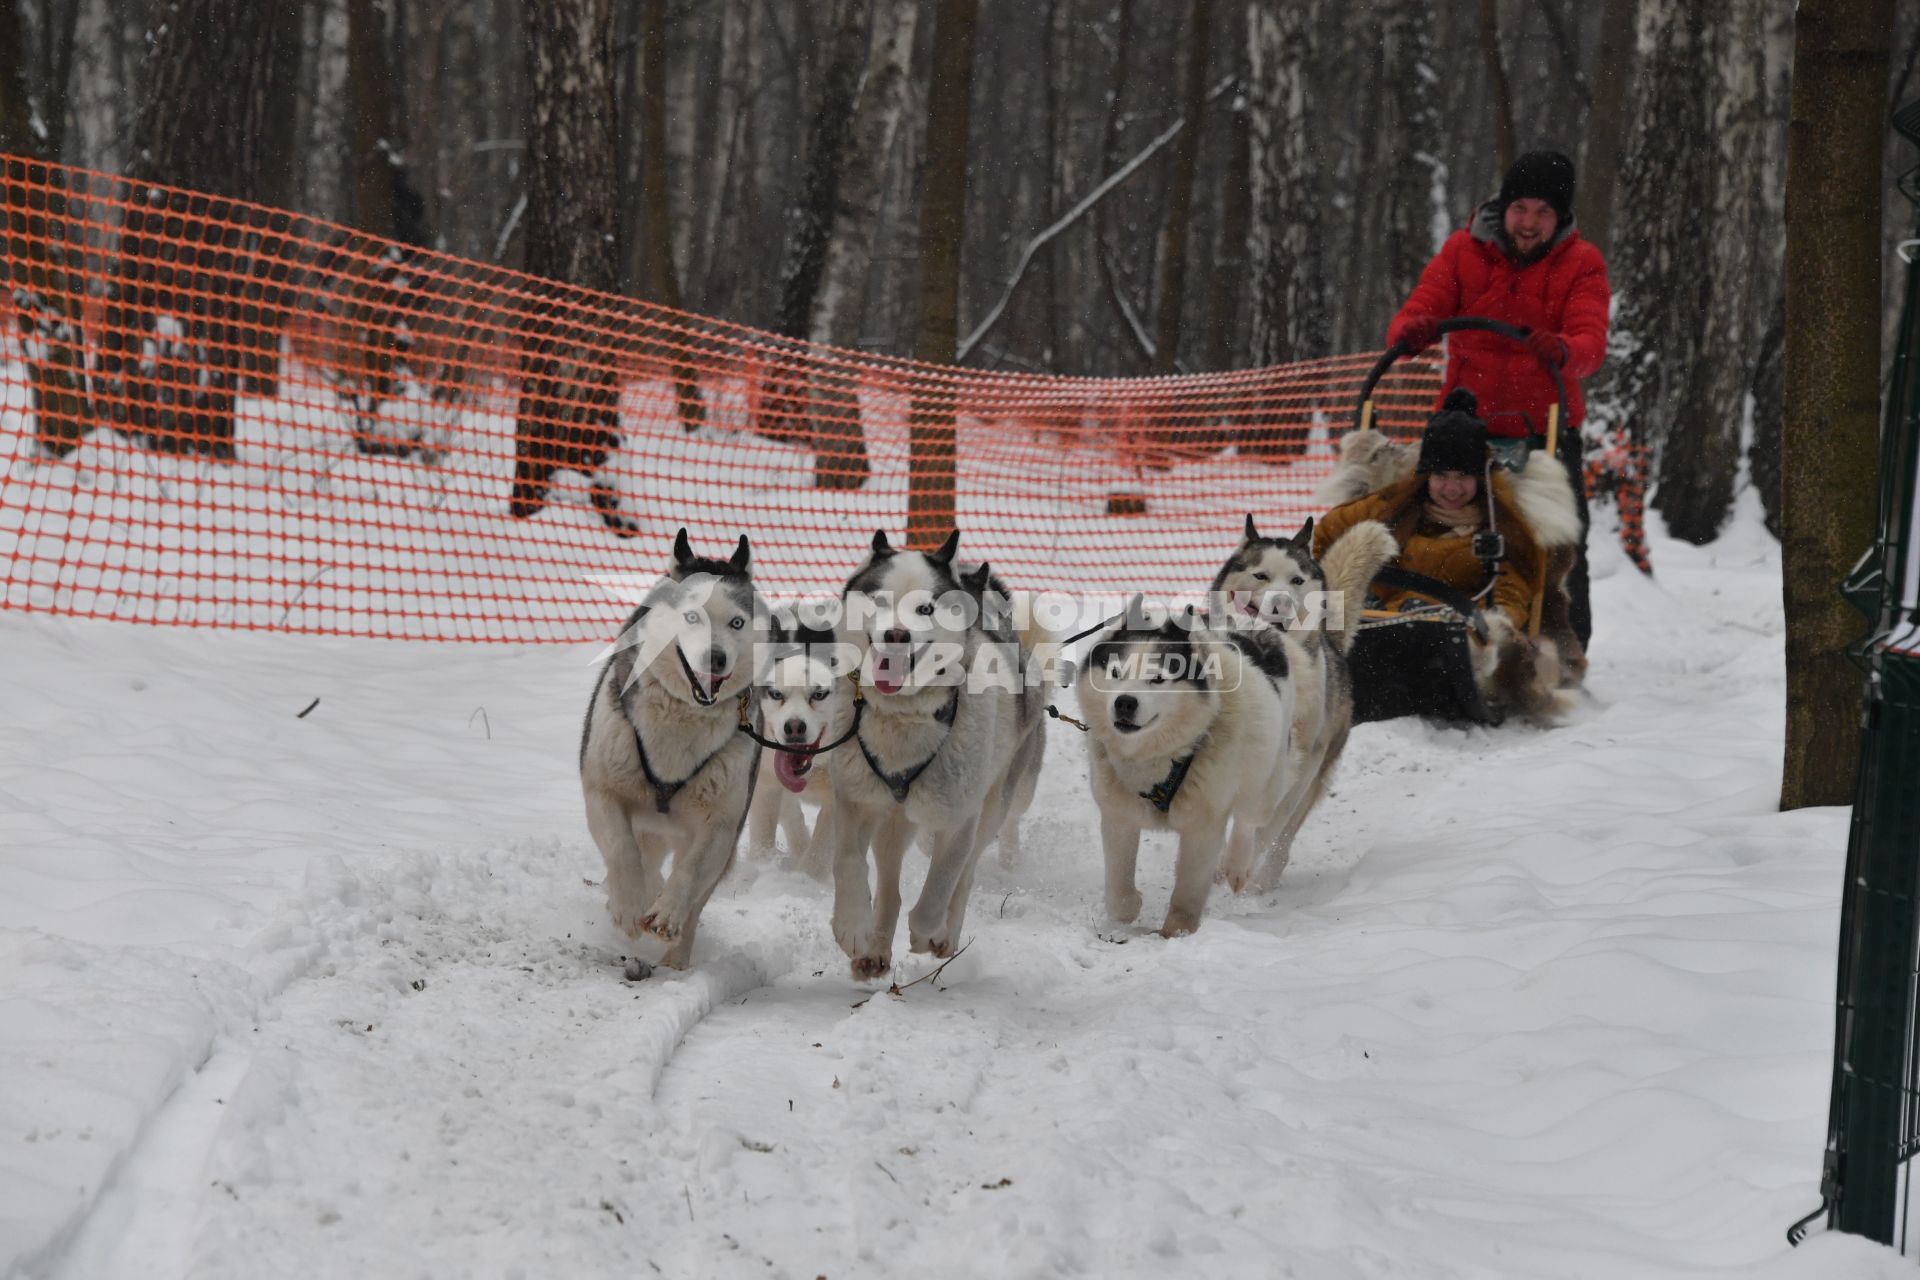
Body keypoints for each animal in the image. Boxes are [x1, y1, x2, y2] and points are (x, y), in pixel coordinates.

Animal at [579, 525, 768, 967]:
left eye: (736, 622)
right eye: (692, 617)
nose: (716, 658)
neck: (683, 717)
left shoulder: (721, 825)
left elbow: (692, 872)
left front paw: (666, 913)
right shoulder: (603, 791)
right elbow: (621, 850)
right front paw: (630, 905)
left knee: (695, 899)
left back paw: (675, 956)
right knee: (642, 858)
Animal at [741, 621, 856, 882]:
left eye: (819, 694)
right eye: (776, 694)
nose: (793, 727)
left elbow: (821, 849)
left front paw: (805, 880)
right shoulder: (766, 781)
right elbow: (764, 831)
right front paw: (762, 867)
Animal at [825, 529, 1052, 982]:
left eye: (925, 609)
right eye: (879, 601)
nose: (896, 635)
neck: (902, 718)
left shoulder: (957, 816)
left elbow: (942, 885)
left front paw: (926, 933)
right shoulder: (857, 801)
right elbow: (848, 863)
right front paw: (853, 927)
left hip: (994, 804)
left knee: (966, 873)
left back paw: (945, 935)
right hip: (893, 818)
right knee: (890, 882)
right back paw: (875, 948)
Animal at [1075, 610, 1297, 940]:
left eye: (1157, 678)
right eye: (1115, 672)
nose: (1125, 701)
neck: (1160, 760)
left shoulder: (1202, 828)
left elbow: (1187, 893)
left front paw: (1176, 932)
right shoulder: (1119, 816)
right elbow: (1118, 888)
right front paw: (1128, 908)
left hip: (1265, 779)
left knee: (1248, 820)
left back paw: (1236, 864)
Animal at [1213, 514, 1397, 890]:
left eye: (1296, 580)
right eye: (1261, 576)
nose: (1281, 602)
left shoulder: (1305, 756)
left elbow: (1269, 822)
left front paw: (1242, 860)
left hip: (1316, 773)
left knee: (1283, 834)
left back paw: (1263, 876)